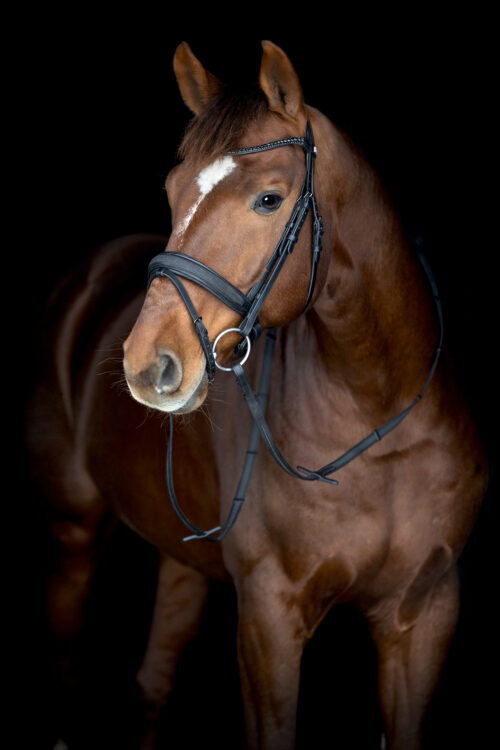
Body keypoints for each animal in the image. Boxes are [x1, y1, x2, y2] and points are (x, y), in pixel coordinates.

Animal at [27, 40, 487, 749]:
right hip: (71, 534)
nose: (147, 364)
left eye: (269, 198)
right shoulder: (270, 620)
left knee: (152, 683)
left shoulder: (425, 612)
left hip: (182, 557)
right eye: (172, 192)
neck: (376, 411)